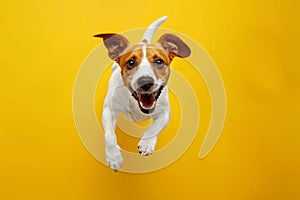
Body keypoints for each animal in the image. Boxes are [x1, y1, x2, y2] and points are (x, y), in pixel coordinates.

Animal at [95, 16, 191, 171]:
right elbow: (109, 135)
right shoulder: (109, 110)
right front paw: (114, 157)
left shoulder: (165, 113)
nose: (145, 82)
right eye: (131, 62)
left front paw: (146, 144)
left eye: (159, 61)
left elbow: (155, 127)